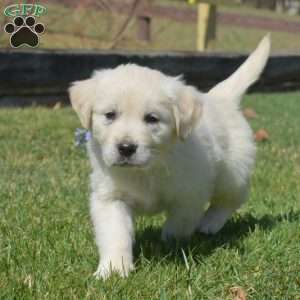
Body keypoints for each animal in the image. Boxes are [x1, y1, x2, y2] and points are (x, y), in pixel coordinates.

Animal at [69, 36, 270, 280]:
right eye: (110, 115)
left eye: (151, 118)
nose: (126, 148)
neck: (147, 169)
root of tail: (219, 99)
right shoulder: (110, 196)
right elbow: (115, 233)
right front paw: (114, 268)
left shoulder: (190, 194)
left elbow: (179, 224)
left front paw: (169, 244)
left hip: (232, 174)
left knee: (230, 200)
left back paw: (209, 224)